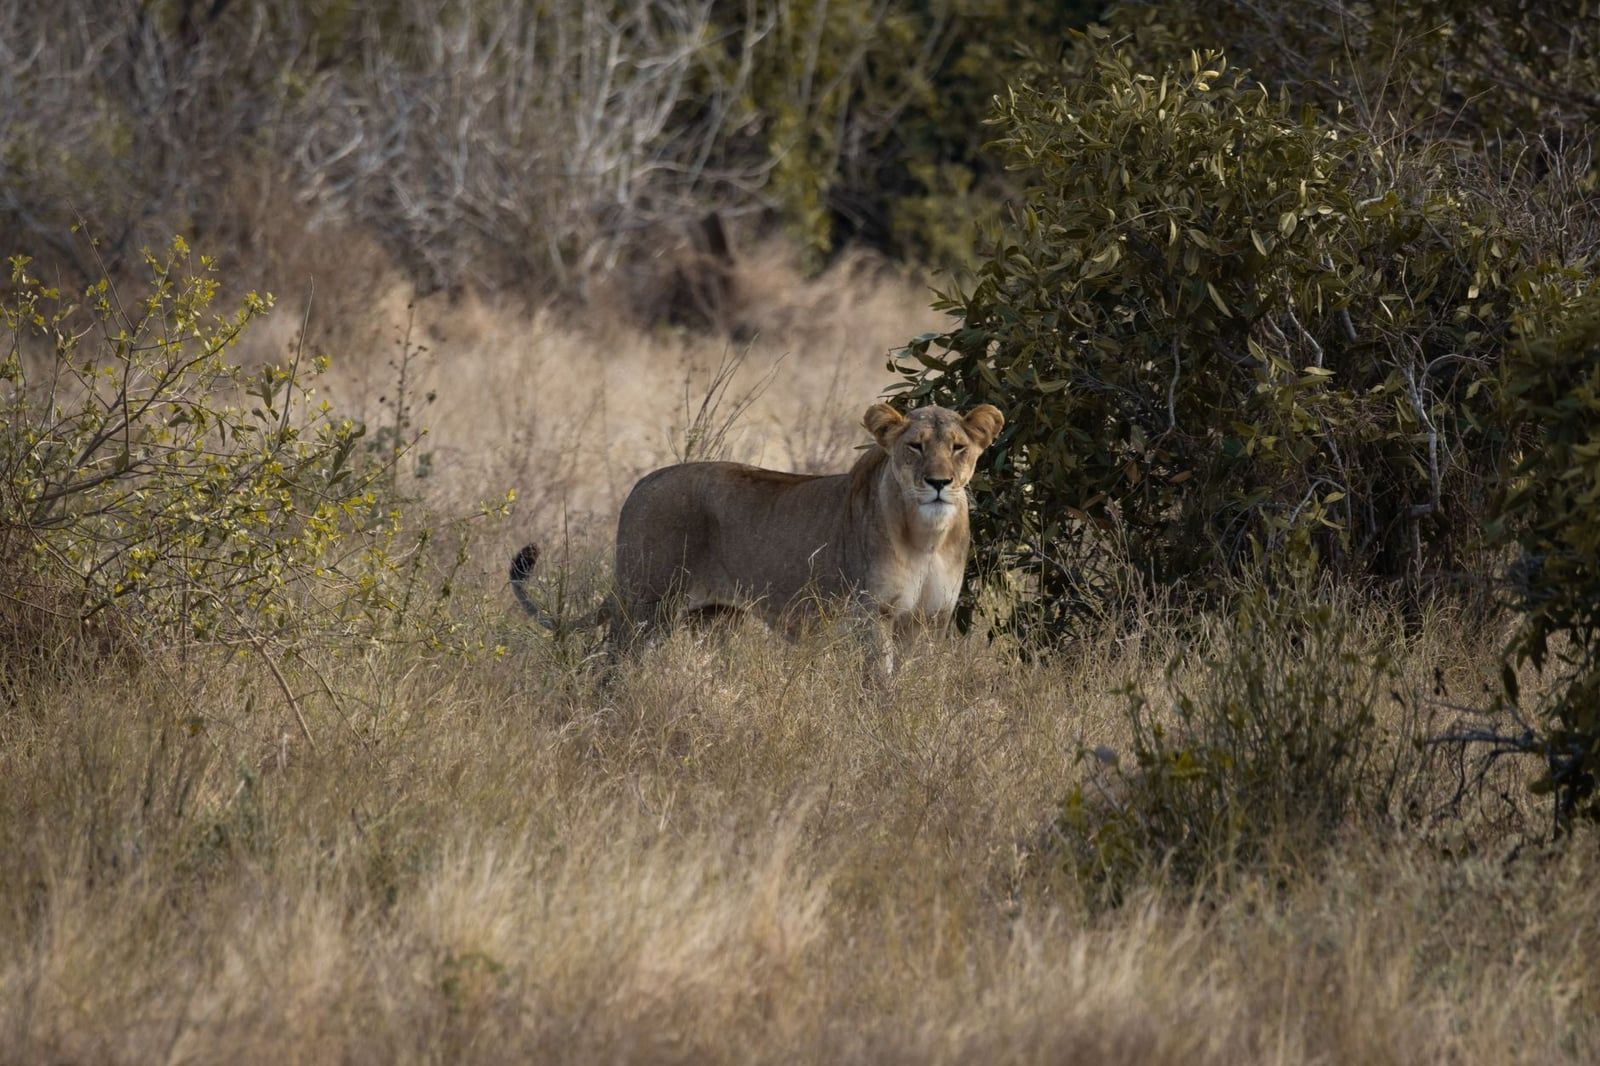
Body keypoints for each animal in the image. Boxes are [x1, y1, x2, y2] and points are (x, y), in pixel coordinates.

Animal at [510, 401, 1004, 672]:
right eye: (915, 446)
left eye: (958, 447)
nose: (939, 482)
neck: (926, 537)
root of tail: (641, 485)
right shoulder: (871, 614)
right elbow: (879, 680)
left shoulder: (932, 618)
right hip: (646, 605)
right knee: (609, 664)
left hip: (712, 617)